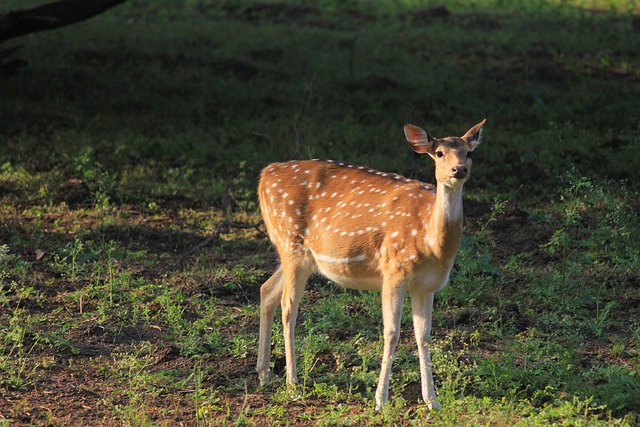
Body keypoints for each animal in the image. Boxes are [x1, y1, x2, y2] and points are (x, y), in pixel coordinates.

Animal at [256, 119, 485, 411]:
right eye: (440, 153)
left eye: (470, 153)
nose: (459, 169)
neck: (431, 242)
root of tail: (264, 174)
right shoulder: (394, 269)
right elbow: (392, 333)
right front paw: (381, 400)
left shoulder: (427, 285)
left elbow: (424, 335)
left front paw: (432, 401)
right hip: (290, 242)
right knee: (288, 307)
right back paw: (293, 384)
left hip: (299, 256)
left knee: (266, 290)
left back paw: (264, 374)